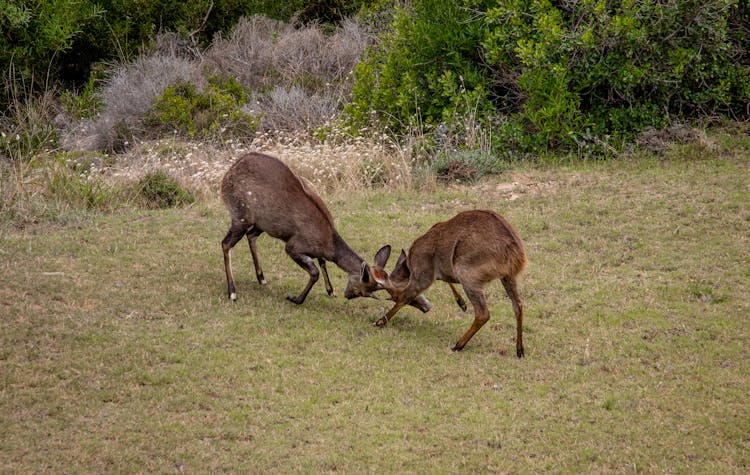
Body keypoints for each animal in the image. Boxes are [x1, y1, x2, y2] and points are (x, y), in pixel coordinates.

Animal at [220, 152, 432, 308]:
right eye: (361, 291)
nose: (348, 295)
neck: (329, 243)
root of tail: (226, 176)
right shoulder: (293, 246)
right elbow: (314, 271)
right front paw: (296, 298)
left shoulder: (315, 250)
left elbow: (322, 262)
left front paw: (331, 290)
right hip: (240, 215)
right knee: (225, 243)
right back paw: (233, 292)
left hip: (261, 224)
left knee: (250, 236)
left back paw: (262, 278)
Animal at [362, 209, 524, 356]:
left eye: (393, 296)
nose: (425, 308)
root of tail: (515, 252)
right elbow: (447, 281)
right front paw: (462, 303)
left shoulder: (423, 275)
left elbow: (405, 297)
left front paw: (379, 322)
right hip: (507, 277)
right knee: (518, 305)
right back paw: (519, 350)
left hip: (468, 276)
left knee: (483, 313)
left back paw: (457, 345)